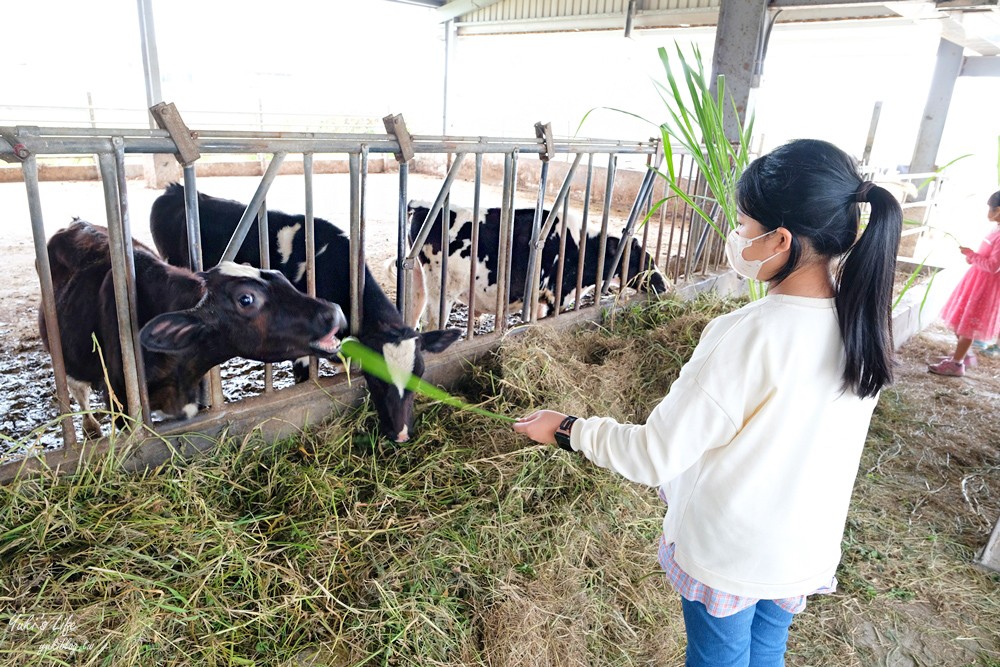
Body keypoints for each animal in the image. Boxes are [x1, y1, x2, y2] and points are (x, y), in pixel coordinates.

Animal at [39, 219, 350, 438]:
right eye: (246, 299)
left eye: (280, 277)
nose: (334, 313)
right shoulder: (121, 405)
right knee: (78, 391)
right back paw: (91, 428)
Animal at [402, 201, 668, 332]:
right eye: (643, 258)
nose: (664, 285)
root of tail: (422, 206)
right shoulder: (557, 296)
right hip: (442, 289)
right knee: (431, 324)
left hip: (418, 282)